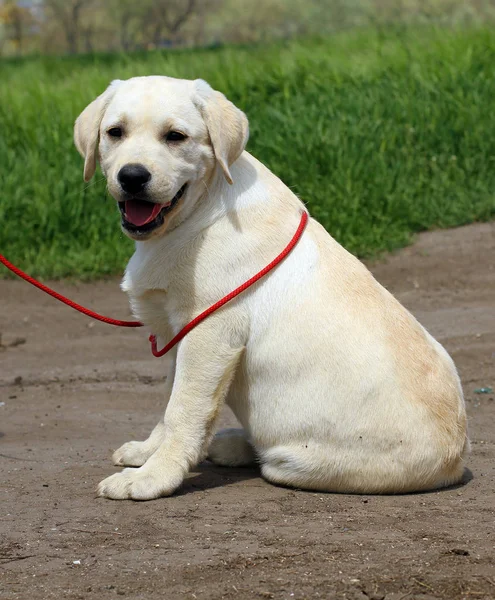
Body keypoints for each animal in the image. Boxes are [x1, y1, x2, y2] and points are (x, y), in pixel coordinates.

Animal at [73, 77, 468, 500]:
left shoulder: (210, 333)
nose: (132, 176)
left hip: (297, 464)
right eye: (115, 132)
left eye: (175, 136)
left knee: (271, 457)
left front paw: (152, 476)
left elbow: (183, 409)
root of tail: (456, 458)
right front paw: (147, 452)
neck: (200, 211)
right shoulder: (179, 335)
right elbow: (169, 399)